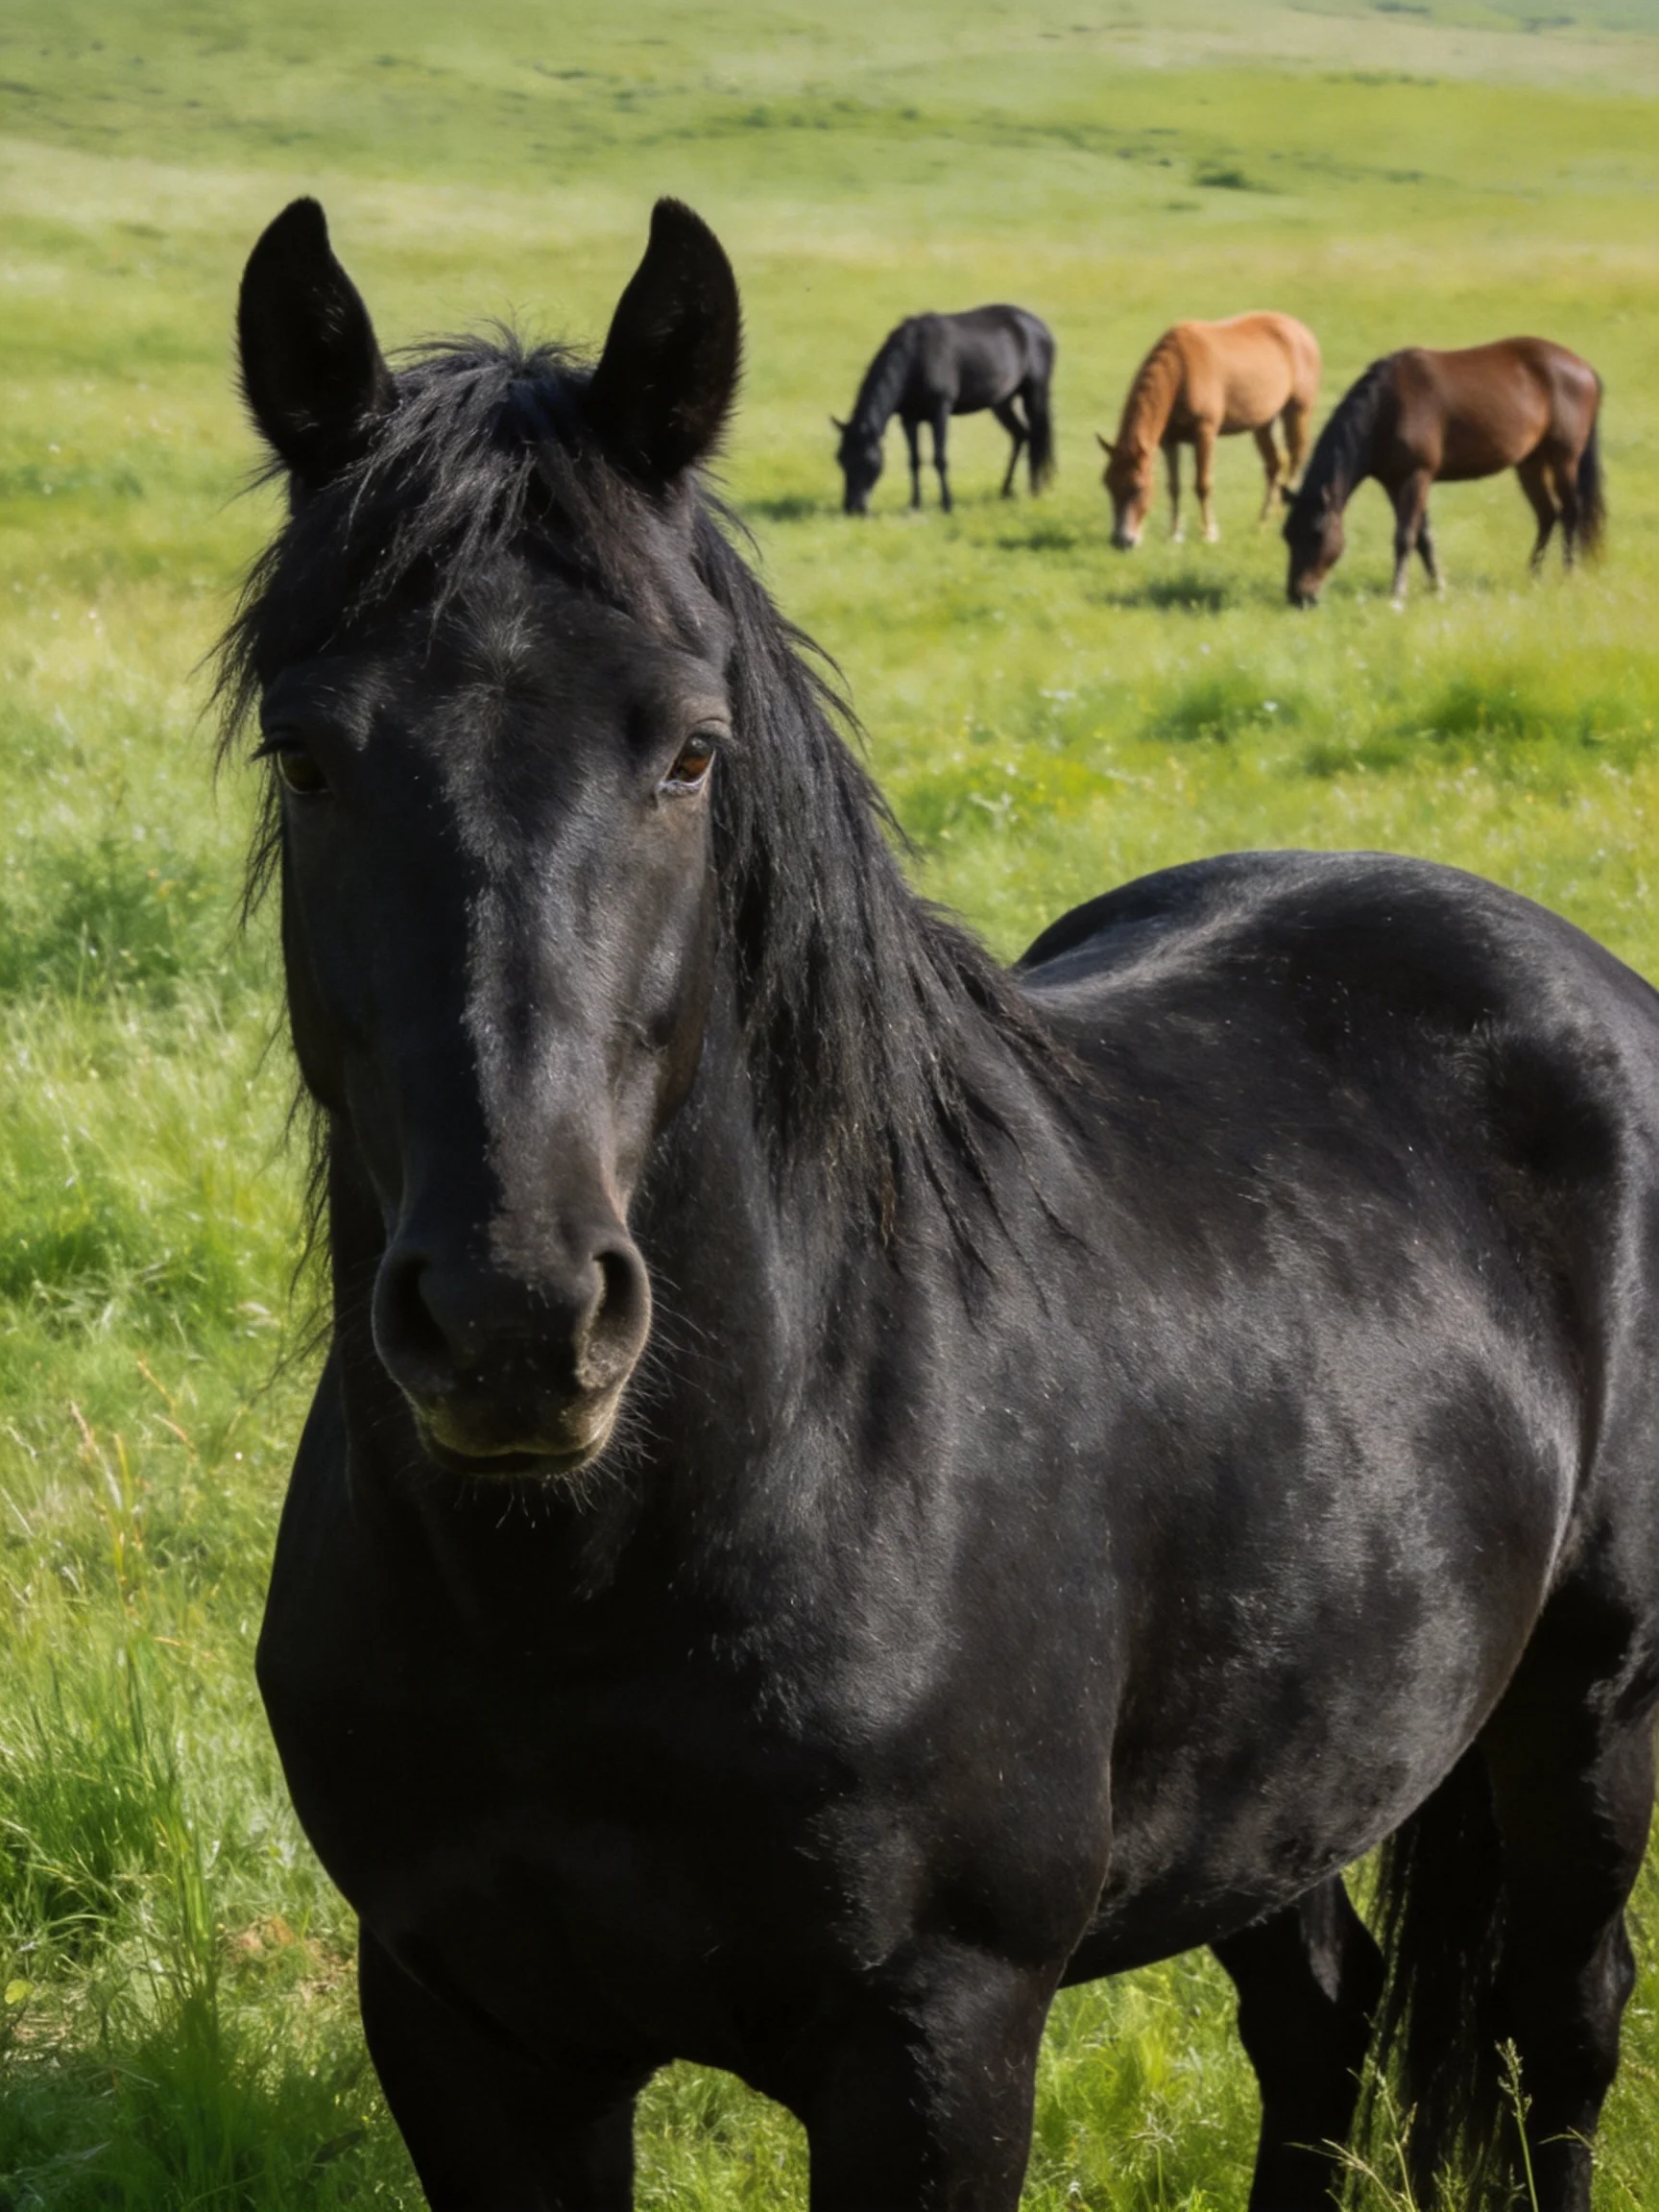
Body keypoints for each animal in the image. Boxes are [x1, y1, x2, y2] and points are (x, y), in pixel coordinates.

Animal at [832, 306, 1054, 514]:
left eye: (866, 459)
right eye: (841, 459)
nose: (852, 508)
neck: (916, 356)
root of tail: (1040, 327)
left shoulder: (939, 413)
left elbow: (939, 459)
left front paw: (947, 504)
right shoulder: (909, 419)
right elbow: (914, 461)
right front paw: (915, 504)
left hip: (1035, 394)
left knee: (1036, 438)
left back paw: (1034, 490)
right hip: (1002, 402)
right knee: (1021, 435)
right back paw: (1006, 490)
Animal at [1096, 313, 1320, 549]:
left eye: (1138, 488)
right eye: (1108, 484)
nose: (1122, 541)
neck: (1180, 370)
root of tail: (1301, 330)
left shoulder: (1205, 432)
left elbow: (1203, 484)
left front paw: (1208, 534)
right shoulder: (1169, 441)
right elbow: (1174, 487)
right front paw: (1174, 534)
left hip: (1297, 412)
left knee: (1296, 459)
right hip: (1262, 422)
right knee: (1275, 465)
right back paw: (1262, 523)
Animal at [1284, 339, 1605, 607]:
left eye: (1316, 534)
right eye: (1286, 535)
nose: (1298, 597)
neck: (1385, 408)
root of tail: (1584, 367)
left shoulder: (1417, 476)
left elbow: (1405, 536)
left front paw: (1398, 592)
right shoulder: (1395, 482)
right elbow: (1423, 536)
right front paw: (1437, 586)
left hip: (1564, 459)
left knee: (1570, 512)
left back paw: (1569, 572)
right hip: (1530, 463)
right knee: (1547, 514)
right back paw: (1533, 572)